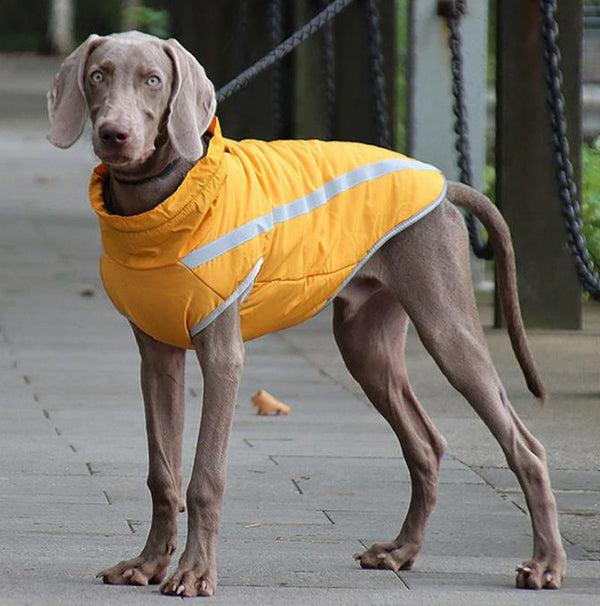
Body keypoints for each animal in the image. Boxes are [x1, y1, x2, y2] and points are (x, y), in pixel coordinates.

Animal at [48, 33, 568, 600]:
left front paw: (194, 573)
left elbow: (205, 475)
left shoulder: (222, 355)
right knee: (427, 445)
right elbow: (161, 474)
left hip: (447, 328)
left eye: (153, 80)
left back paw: (545, 565)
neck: (159, 203)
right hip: (366, 343)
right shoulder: (156, 356)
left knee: (526, 446)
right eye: (98, 75)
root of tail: (445, 186)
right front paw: (147, 565)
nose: (113, 135)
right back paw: (401, 551)